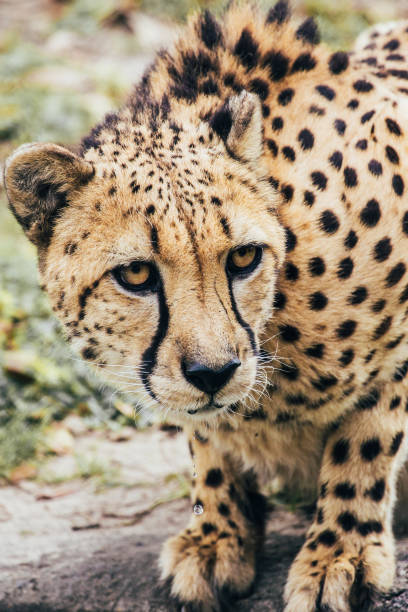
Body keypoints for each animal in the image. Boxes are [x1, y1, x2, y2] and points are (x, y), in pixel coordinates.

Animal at [2, 2, 408, 608]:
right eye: (136, 274)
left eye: (243, 257)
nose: (213, 373)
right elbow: (206, 440)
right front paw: (219, 534)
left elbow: (367, 437)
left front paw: (342, 552)